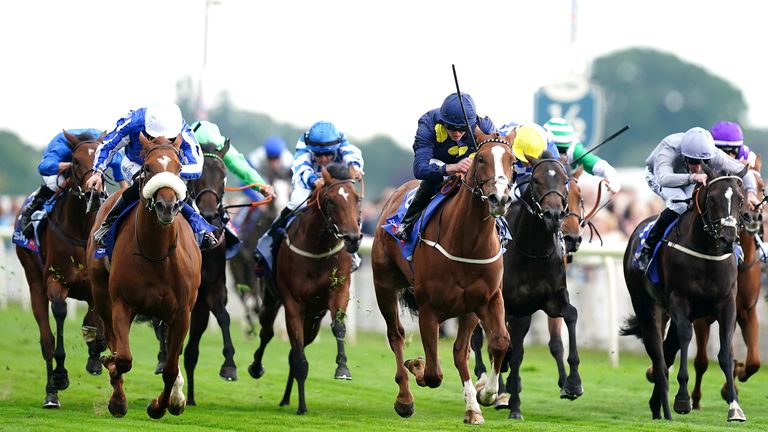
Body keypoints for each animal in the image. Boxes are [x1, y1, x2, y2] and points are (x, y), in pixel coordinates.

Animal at [15, 131, 106, 408]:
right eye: (75, 161)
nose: (94, 193)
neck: (80, 231)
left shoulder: (96, 284)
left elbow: (94, 318)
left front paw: (95, 351)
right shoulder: (55, 281)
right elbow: (60, 312)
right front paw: (60, 376)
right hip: (33, 282)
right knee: (46, 339)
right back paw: (51, 393)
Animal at [87, 132, 202, 418]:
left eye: (179, 168)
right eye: (148, 168)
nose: (166, 206)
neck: (156, 253)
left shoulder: (182, 313)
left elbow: (170, 368)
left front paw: (161, 405)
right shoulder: (122, 304)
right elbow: (123, 358)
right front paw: (112, 373)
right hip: (101, 294)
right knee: (114, 340)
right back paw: (117, 397)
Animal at [249, 163, 364, 416]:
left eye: (357, 198)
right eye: (330, 201)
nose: (352, 238)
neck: (318, 248)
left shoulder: (338, 292)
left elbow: (338, 327)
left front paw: (343, 368)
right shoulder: (293, 305)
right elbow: (299, 359)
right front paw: (302, 406)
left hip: (313, 320)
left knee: (295, 351)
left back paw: (285, 398)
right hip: (272, 301)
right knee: (267, 332)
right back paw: (257, 368)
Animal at [370, 132, 512, 426]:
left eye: (513, 160)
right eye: (481, 159)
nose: (499, 199)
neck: (467, 244)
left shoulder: (487, 299)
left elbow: (498, 342)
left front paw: (485, 397)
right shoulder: (429, 309)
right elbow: (434, 373)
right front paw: (417, 365)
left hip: (468, 310)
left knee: (460, 351)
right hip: (384, 285)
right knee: (396, 335)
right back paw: (404, 398)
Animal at [620, 165, 748, 422]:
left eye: (740, 200)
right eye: (712, 198)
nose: (728, 238)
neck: (707, 252)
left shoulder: (727, 303)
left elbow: (725, 353)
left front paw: (734, 407)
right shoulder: (679, 300)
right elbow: (686, 338)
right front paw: (682, 400)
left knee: (668, 351)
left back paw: (656, 405)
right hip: (648, 307)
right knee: (658, 354)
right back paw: (666, 409)